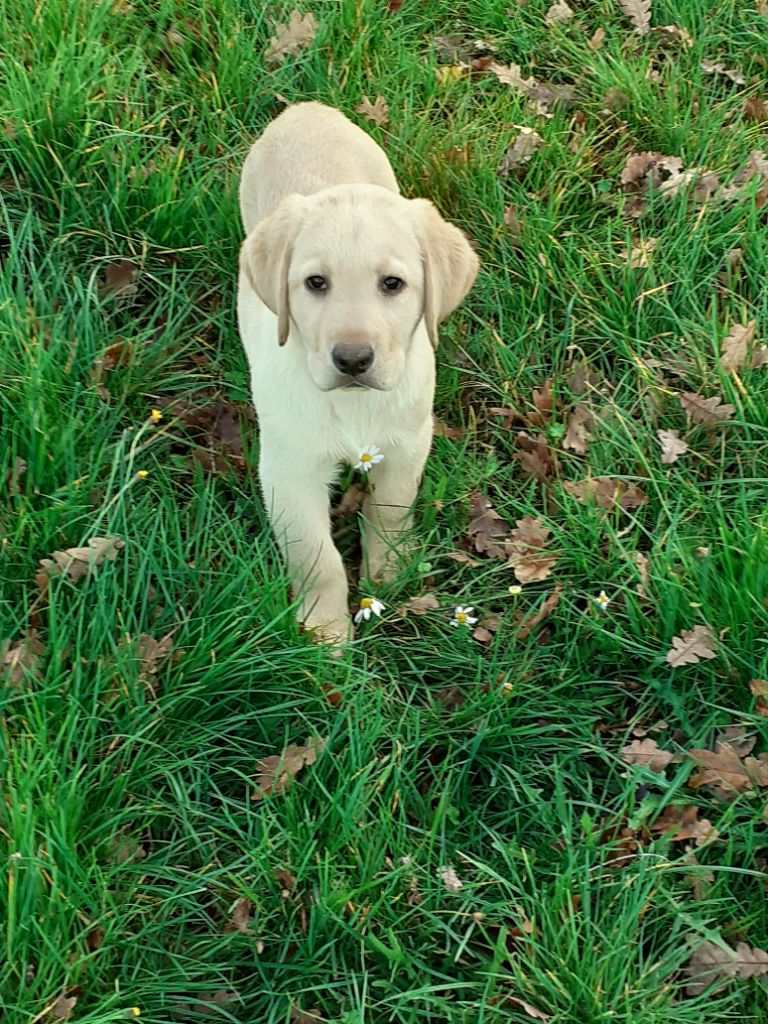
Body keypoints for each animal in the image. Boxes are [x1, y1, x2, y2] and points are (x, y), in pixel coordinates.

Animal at [239, 101, 481, 638]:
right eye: (315, 283)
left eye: (392, 284)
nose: (352, 360)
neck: (352, 403)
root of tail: (305, 108)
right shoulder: (288, 470)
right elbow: (316, 557)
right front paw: (325, 631)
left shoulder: (408, 444)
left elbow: (390, 509)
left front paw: (388, 573)